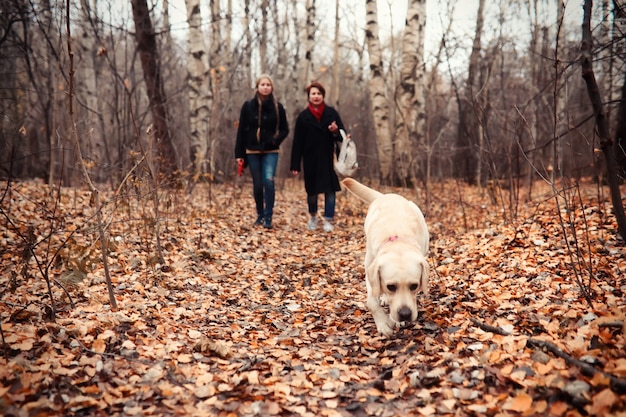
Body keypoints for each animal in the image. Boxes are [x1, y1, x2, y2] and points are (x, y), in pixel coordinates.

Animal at [338, 177, 426, 336]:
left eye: (414, 286)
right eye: (391, 286)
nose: (405, 314)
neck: (397, 241)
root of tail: (385, 196)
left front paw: (396, 320)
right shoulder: (370, 272)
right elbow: (371, 302)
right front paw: (383, 323)